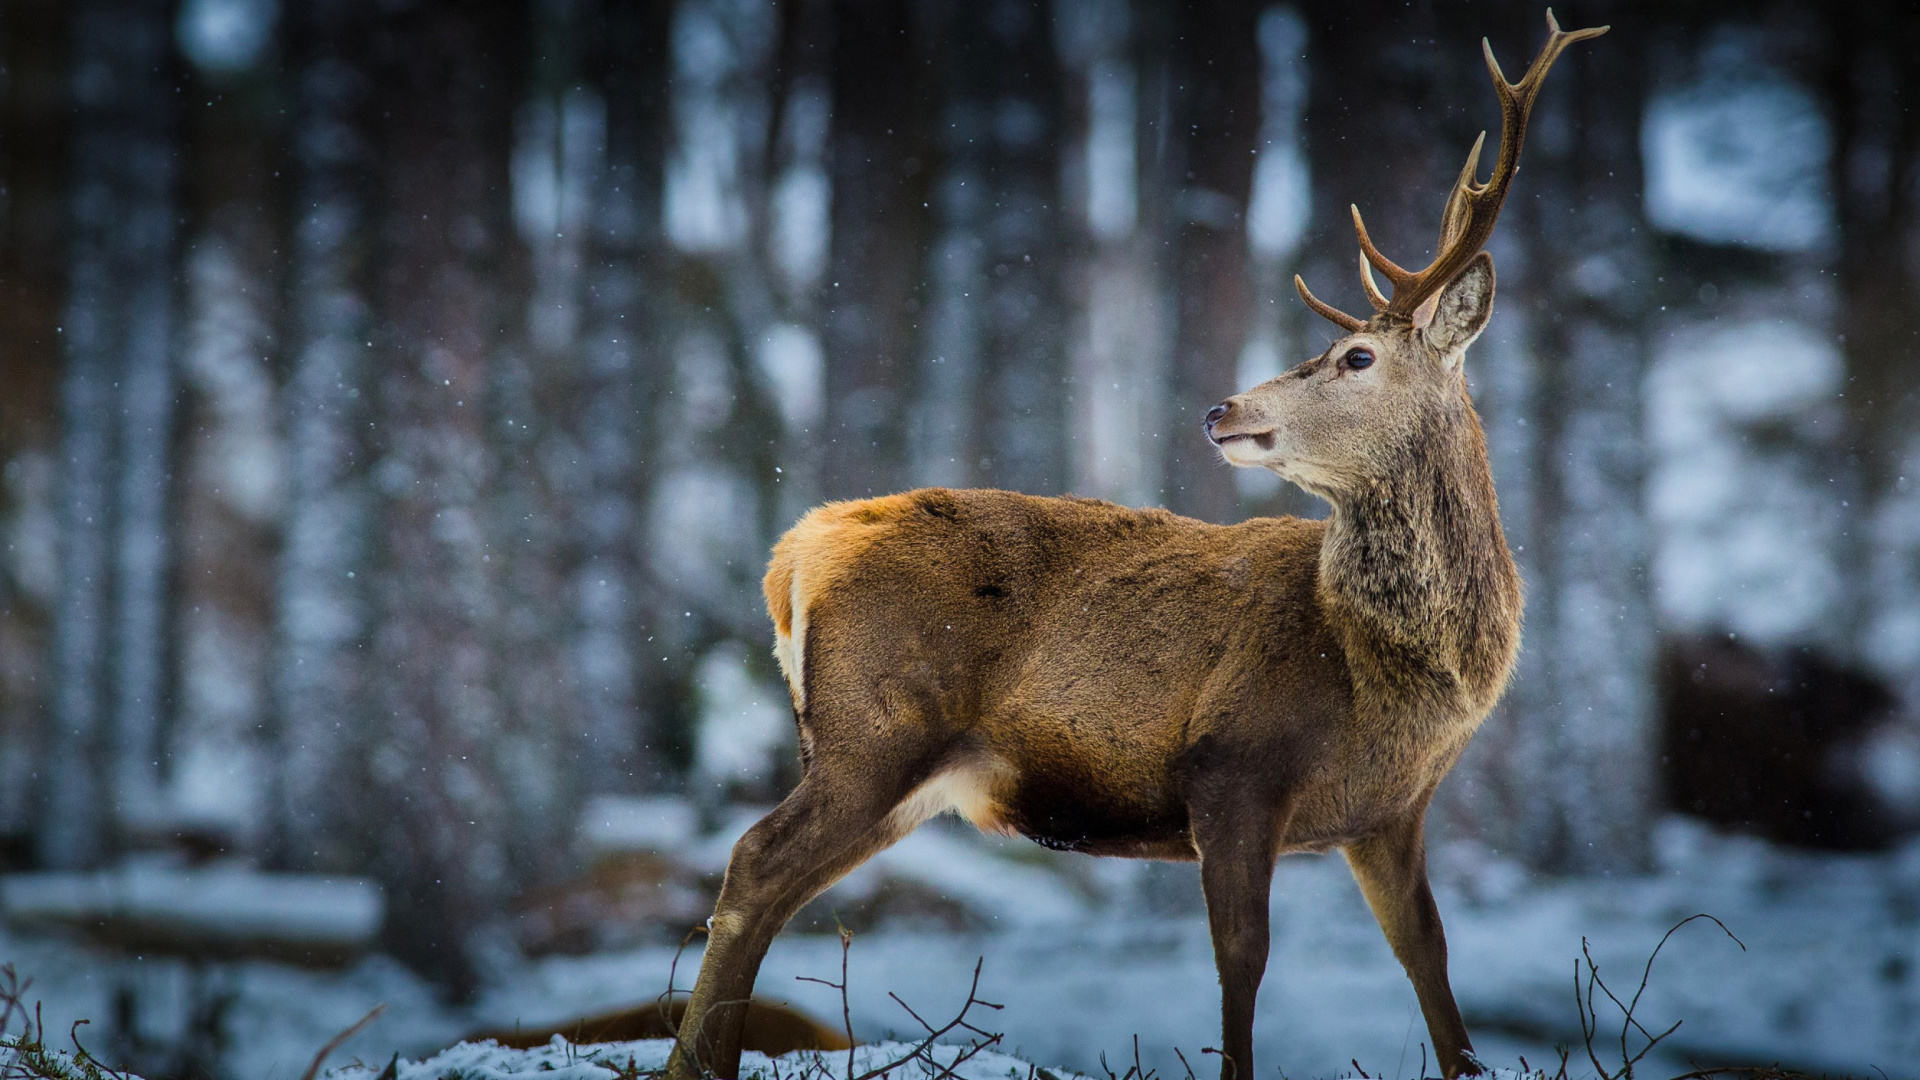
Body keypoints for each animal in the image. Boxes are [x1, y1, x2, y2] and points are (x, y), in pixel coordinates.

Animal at [668, 14, 1597, 1076]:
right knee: (754, 862)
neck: (1388, 673)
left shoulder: (1391, 812)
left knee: (774, 882)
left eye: (1357, 356)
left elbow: (1431, 962)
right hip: (878, 727)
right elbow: (1243, 960)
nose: (1220, 409)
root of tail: (796, 551)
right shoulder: (1232, 764)